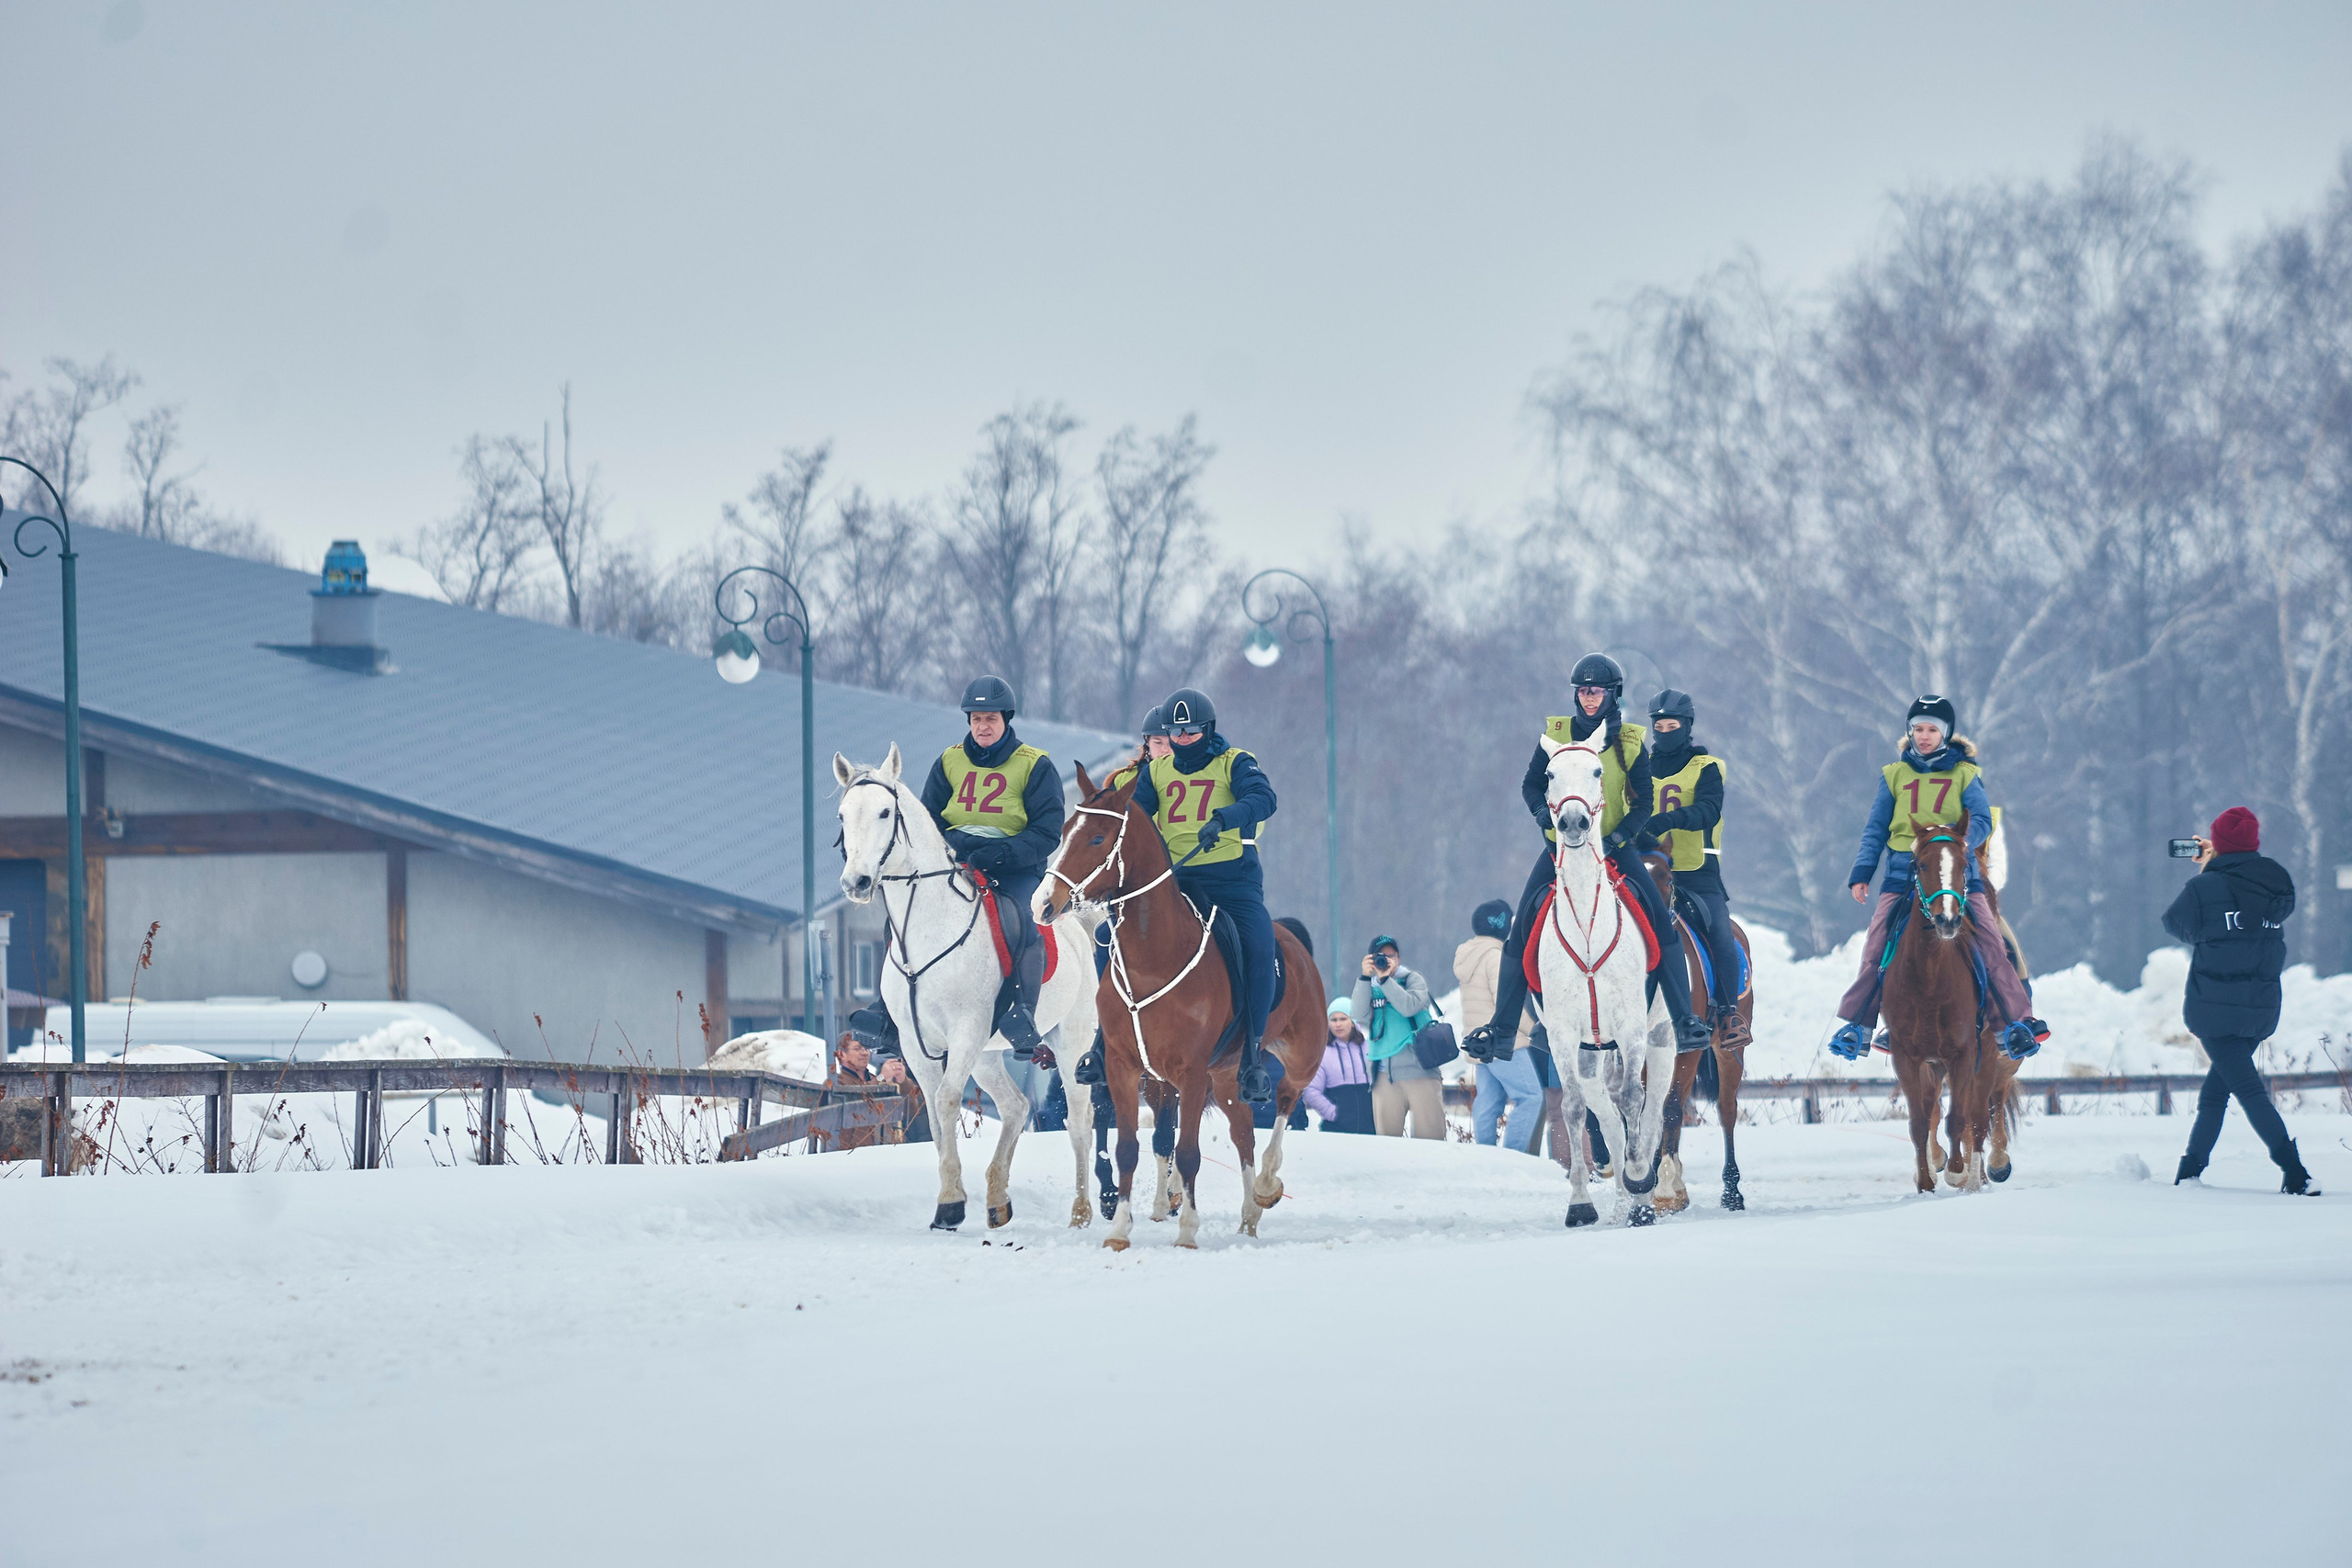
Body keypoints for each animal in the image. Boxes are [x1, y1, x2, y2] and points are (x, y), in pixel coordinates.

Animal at [833, 745, 1106, 1232]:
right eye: (843, 815)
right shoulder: (917, 1044)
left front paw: (950, 1204)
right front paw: (951, 1198)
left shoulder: (964, 1032)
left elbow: (944, 1101)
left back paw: (1080, 1212)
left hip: (1069, 1043)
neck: (929, 928)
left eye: (885, 812)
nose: (856, 883)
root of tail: (1076, 926)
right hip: (988, 1055)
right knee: (1016, 1106)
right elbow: (935, 1117)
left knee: (1078, 1120)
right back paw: (998, 1199)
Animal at [1038, 762, 1329, 1250]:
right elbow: (1129, 1148)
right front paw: (1120, 1230)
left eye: (1097, 838)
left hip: (1300, 1056)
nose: (1043, 903)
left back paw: (1266, 1187)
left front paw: (1188, 1231)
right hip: (1225, 1075)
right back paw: (1248, 1216)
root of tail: (1290, 937)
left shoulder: (1190, 1072)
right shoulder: (1123, 1066)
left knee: (1285, 1104)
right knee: (1243, 1134)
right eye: (1063, 832)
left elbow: (1188, 1151)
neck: (1155, 959)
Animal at [1534, 731, 1678, 1228]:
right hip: (1589, 1053)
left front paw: (1639, 1182)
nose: (1573, 822)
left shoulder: (1632, 1028)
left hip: (1663, 1038)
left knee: (1652, 1112)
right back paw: (1621, 1195)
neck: (1587, 926)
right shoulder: (1562, 1035)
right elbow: (1575, 1109)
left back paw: (1644, 1188)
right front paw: (1580, 1203)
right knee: (1609, 1119)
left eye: (1597, 770)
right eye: (1549, 773)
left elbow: (1636, 1100)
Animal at [1641, 849, 1753, 1214]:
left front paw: (1663, 1188)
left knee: (1726, 1109)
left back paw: (1731, 1192)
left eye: (1668, 880)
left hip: (1728, 1050)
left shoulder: (1685, 1052)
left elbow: (1672, 1107)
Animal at [1880, 811, 2000, 1193]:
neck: (1930, 978)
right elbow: (1920, 1120)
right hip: (1932, 1064)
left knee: (1976, 1119)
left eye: (1963, 864)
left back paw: (1974, 1178)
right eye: (1920, 864)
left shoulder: (1964, 1053)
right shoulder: (1906, 1057)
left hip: (1986, 1054)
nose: (1947, 920)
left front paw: (1957, 1171)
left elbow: (1958, 1118)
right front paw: (1925, 1179)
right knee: (1933, 1109)